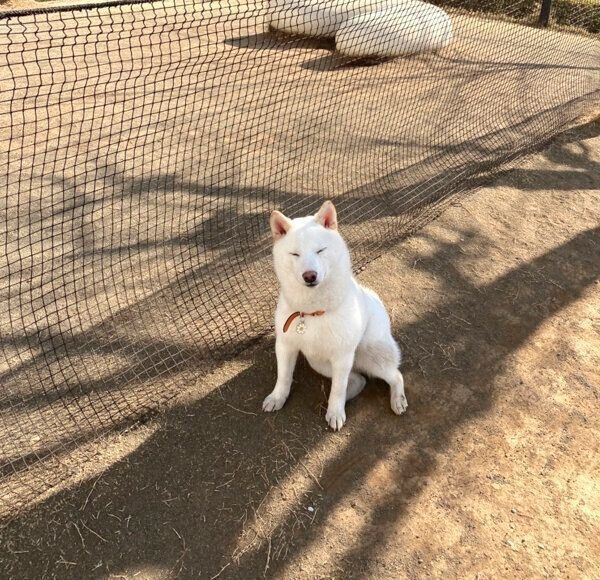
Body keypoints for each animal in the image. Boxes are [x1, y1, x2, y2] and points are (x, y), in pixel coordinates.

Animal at [264, 201, 408, 430]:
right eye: (295, 254)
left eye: (320, 250)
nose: (310, 275)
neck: (312, 311)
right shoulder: (286, 346)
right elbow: (284, 377)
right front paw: (277, 397)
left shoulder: (342, 357)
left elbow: (338, 389)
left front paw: (336, 413)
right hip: (320, 362)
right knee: (359, 380)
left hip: (371, 357)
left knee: (396, 376)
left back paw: (397, 400)